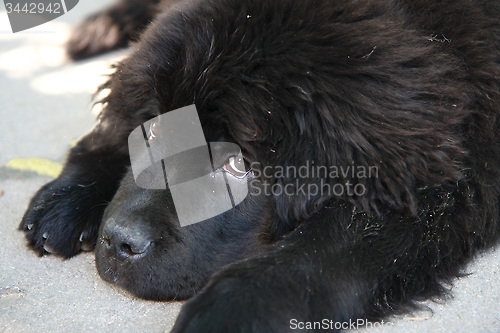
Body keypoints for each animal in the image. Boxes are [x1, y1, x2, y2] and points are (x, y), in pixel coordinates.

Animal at [19, 0, 500, 330]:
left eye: (236, 165)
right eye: (152, 129)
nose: (117, 240)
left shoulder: (446, 186)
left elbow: (324, 247)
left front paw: (225, 310)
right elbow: (111, 125)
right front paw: (64, 199)